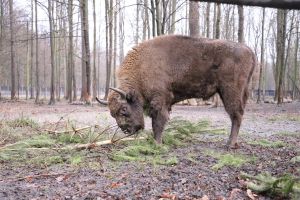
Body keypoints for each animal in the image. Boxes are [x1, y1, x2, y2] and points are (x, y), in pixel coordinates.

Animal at [97, 35, 256, 148]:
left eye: (124, 109)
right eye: (112, 114)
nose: (126, 130)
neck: (141, 68)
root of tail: (249, 50)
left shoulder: (159, 101)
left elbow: (158, 122)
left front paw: (157, 144)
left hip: (230, 91)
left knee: (236, 115)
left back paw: (229, 144)